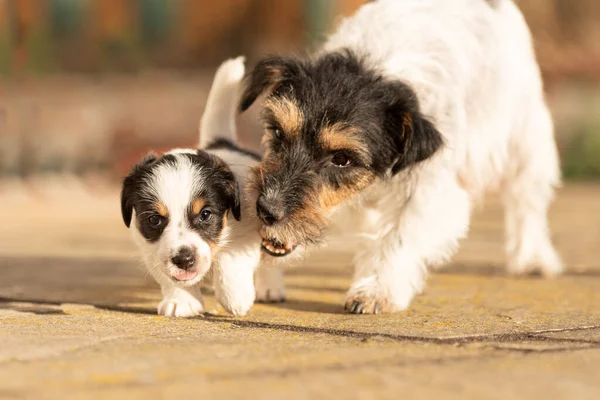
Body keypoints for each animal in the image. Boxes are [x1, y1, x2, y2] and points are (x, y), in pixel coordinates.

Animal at [120, 57, 262, 318]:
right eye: (154, 219)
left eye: (206, 214)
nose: (184, 259)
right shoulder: (150, 247)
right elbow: (168, 275)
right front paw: (181, 300)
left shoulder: (249, 230)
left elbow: (231, 257)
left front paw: (235, 296)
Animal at [239, 0, 564, 314]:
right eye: (278, 132)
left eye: (342, 159)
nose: (266, 209)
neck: (374, 67)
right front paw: (262, 280)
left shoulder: (426, 191)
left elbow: (398, 236)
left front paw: (376, 291)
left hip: (526, 143)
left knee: (527, 201)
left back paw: (533, 259)